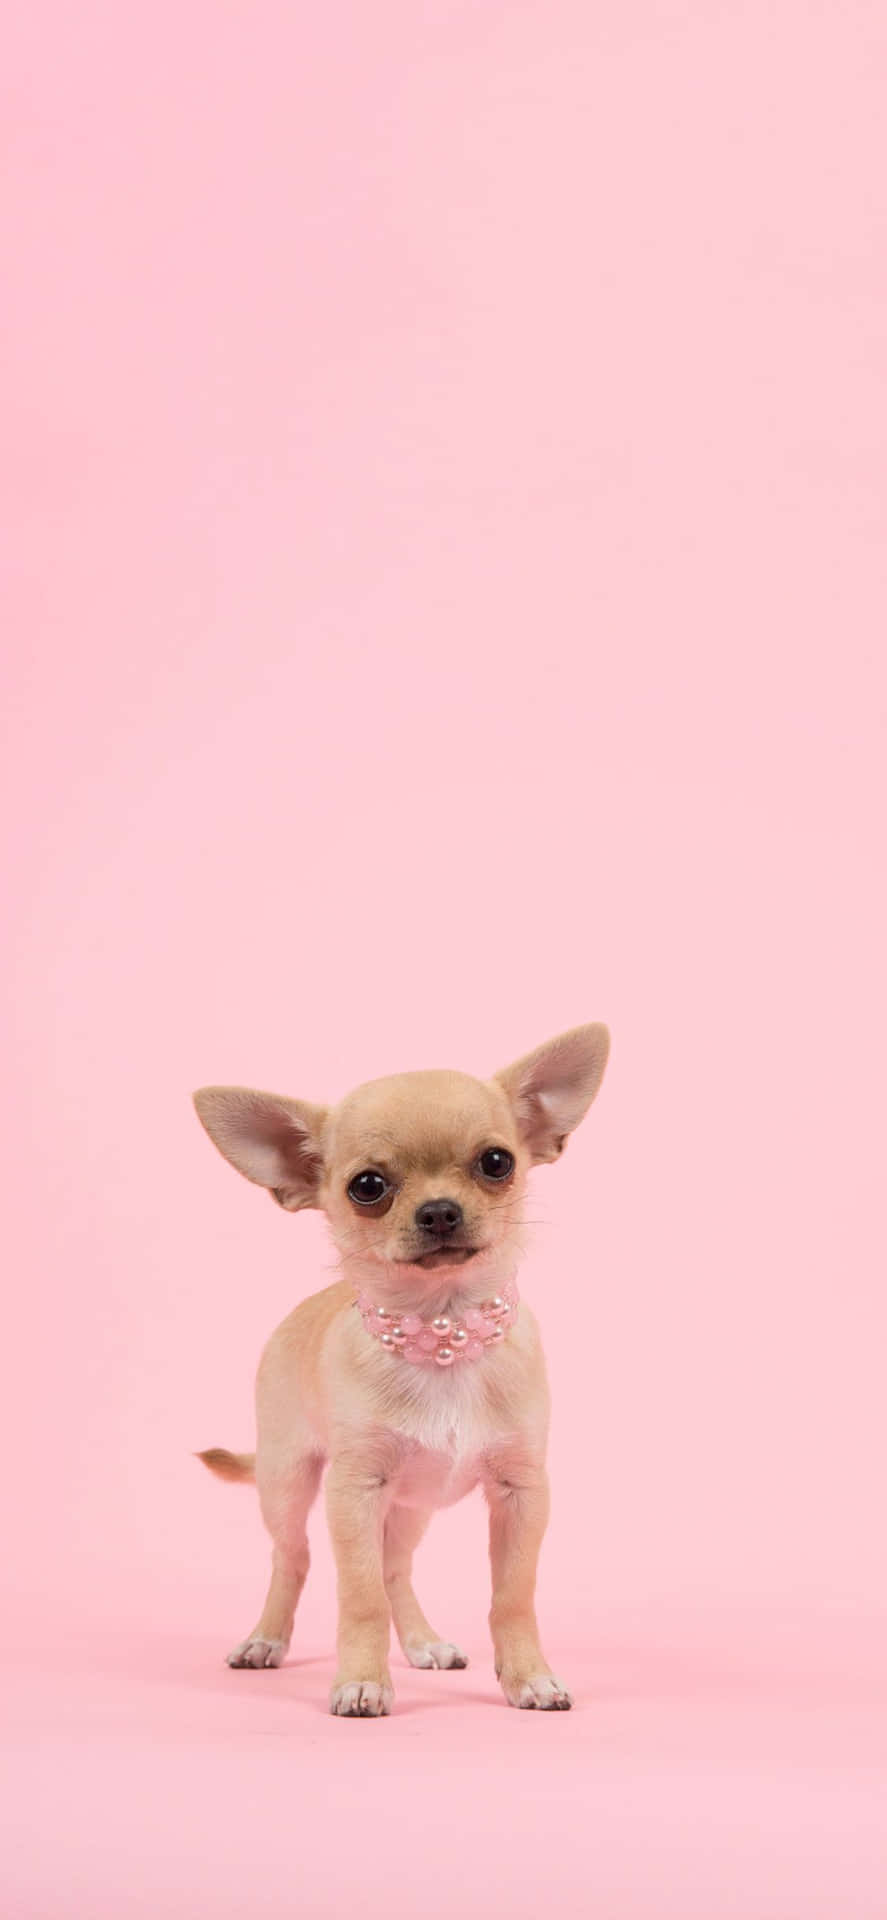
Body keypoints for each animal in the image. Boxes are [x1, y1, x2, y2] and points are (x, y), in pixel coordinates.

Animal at [193, 1029, 610, 1720]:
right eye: (367, 1186)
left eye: (497, 1162)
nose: (440, 1211)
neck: (443, 1335)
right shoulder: (355, 1493)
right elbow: (358, 1597)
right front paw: (361, 1680)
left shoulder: (522, 1494)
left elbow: (512, 1597)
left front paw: (529, 1677)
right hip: (287, 1483)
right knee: (293, 1560)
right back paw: (266, 1639)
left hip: (413, 1506)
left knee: (396, 1570)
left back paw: (421, 1642)